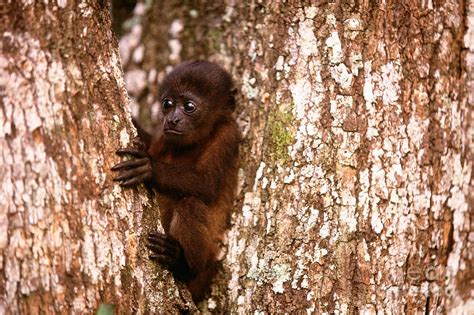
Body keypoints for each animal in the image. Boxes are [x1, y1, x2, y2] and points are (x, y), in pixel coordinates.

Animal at [112, 60, 241, 302]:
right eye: (167, 104)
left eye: (189, 106)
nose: (172, 119)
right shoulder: (163, 137)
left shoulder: (228, 135)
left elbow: (207, 184)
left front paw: (150, 168)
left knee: (190, 205)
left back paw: (181, 264)